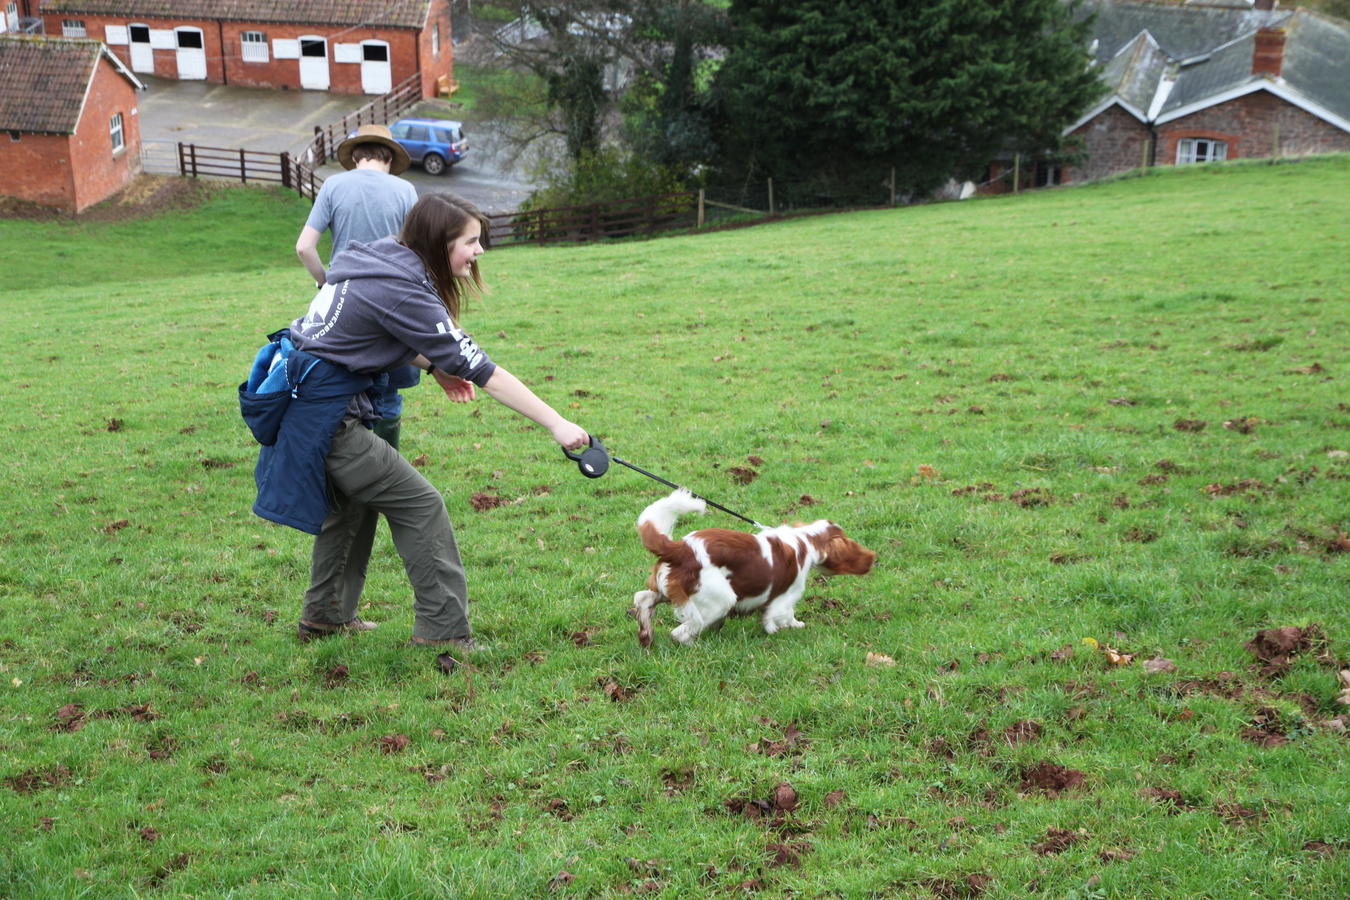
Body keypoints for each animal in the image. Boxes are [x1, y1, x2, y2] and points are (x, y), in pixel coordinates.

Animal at [631, 489, 876, 646]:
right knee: (680, 632)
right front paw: (791, 626)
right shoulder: (783, 599)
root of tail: (681, 548)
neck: (805, 540)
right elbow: (783, 616)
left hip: (668, 588)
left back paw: (646, 635)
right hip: (719, 600)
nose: (872, 560)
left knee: (643, 599)